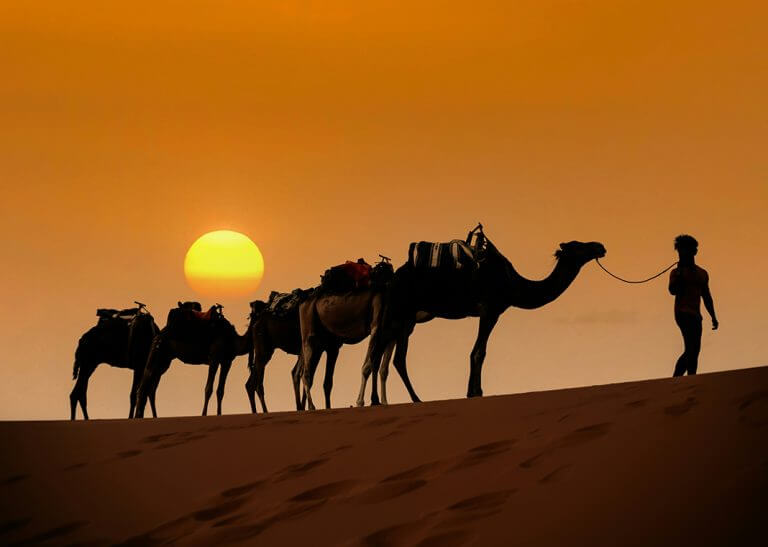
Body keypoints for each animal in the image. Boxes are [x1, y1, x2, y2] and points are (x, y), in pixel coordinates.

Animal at [364, 238, 608, 404]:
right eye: (578, 246)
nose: (600, 246)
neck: (514, 284)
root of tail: (392, 277)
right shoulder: (491, 310)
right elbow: (479, 352)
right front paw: (476, 393)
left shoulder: (489, 312)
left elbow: (477, 352)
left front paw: (472, 391)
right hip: (398, 311)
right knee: (381, 353)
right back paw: (387, 400)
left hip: (405, 319)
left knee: (392, 357)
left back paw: (404, 399)